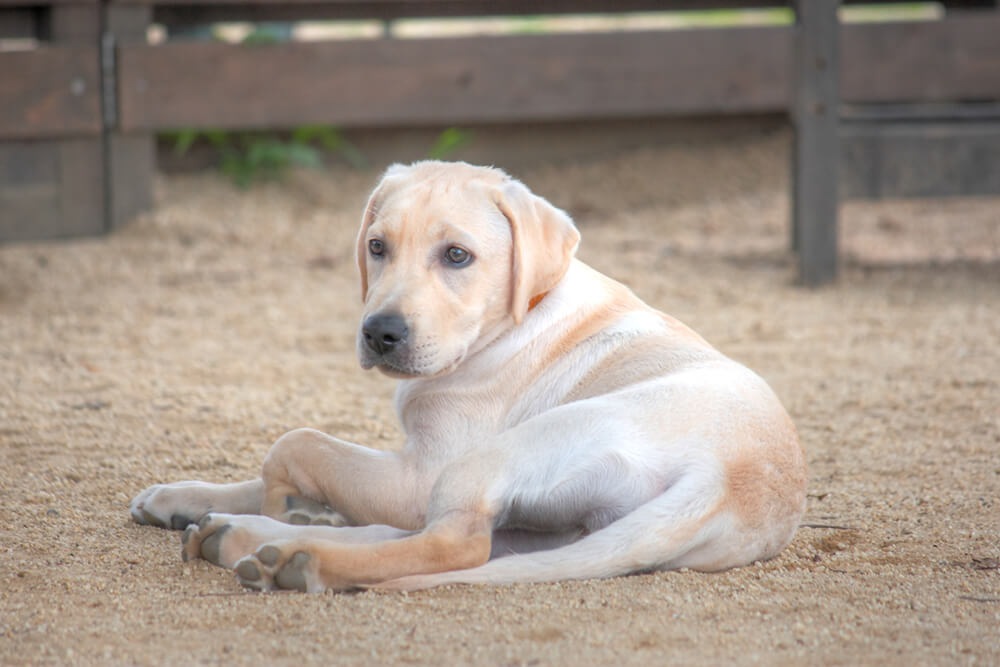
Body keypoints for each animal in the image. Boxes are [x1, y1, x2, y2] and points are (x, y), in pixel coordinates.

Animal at [129, 162, 808, 596]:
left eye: (457, 256)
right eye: (377, 247)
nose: (380, 332)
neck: (514, 318)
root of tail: (735, 483)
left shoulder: (418, 472)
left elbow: (294, 444)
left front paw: (284, 499)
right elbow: (269, 469)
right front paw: (182, 496)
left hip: (497, 457)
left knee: (450, 543)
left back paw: (298, 556)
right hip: (549, 528)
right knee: (423, 537)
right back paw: (247, 537)